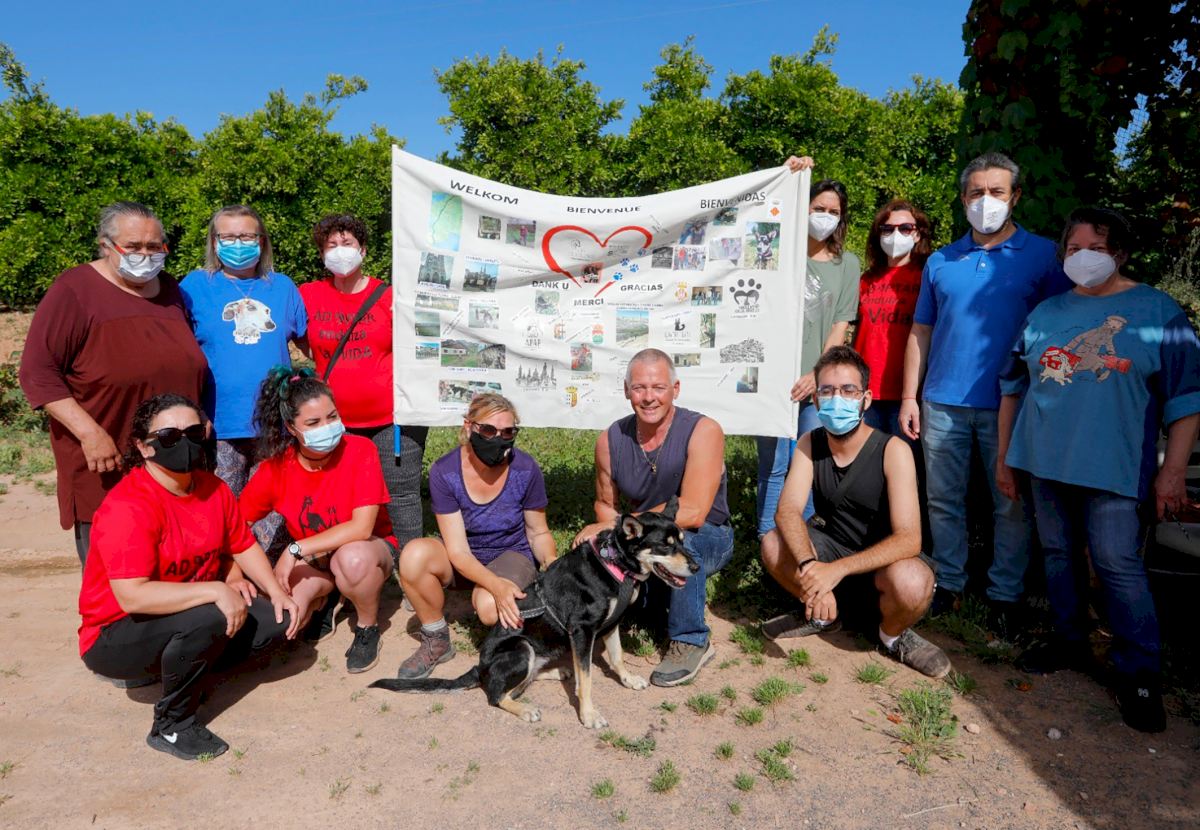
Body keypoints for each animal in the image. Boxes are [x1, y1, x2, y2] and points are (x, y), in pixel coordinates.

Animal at [370, 500, 697, 729]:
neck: (614, 563)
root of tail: (480, 667)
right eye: (664, 546)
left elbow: (616, 658)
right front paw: (589, 714)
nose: (696, 567)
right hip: (520, 647)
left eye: (683, 540)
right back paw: (525, 708)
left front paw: (628, 679)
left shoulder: (610, 624)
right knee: (497, 695)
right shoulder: (582, 631)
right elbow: (587, 679)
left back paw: (559, 672)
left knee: (524, 681)